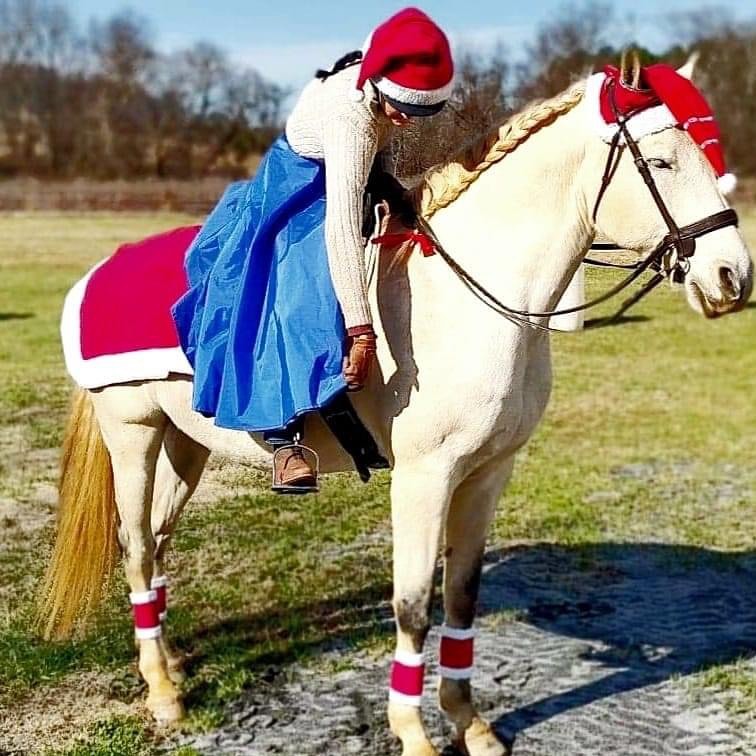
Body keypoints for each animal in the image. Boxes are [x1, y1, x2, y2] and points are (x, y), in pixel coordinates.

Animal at [39, 58, 752, 756]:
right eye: (660, 162)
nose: (732, 278)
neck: (469, 299)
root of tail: (97, 272)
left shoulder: (488, 473)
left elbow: (461, 595)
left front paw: (470, 723)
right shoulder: (423, 478)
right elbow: (412, 604)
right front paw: (414, 733)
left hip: (186, 444)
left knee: (158, 543)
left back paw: (170, 660)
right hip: (133, 435)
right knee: (136, 546)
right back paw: (162, 691)